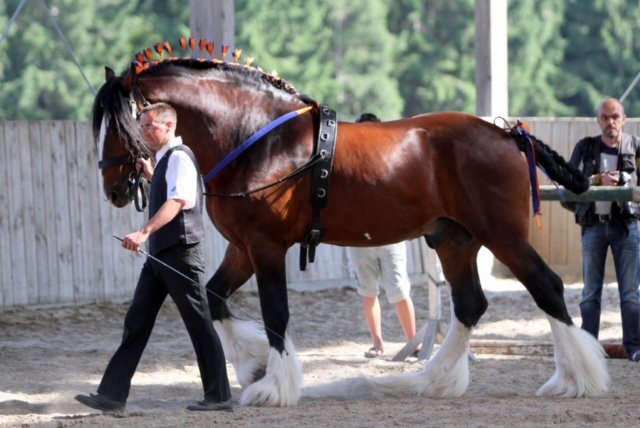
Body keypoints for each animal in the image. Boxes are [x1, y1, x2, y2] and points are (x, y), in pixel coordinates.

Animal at [95, 41, 608, 408]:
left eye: (120, 123)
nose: (114, 189)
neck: (254, 137)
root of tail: (506, 133)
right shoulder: (244, 247)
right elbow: (216, 298)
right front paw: (255, 366)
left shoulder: (266, 247)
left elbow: (276, 313)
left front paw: (273, 388)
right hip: (454, 240)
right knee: (470, 305)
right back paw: (436, 381)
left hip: (503, 236)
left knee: (546, 287)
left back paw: (576, 380)